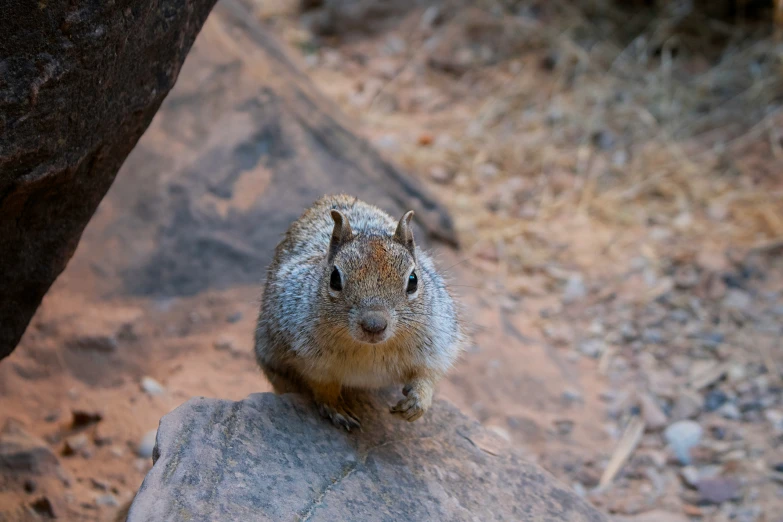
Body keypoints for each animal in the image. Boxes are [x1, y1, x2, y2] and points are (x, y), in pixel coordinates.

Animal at [254, 193, 462, 428]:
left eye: (413, 280)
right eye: (335, 279)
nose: (374, 325)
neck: (370, 349)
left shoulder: (439, 339)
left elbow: (429, 374)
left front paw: (417, 402)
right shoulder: (307, 358)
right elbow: (321, 384)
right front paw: (337, 408)